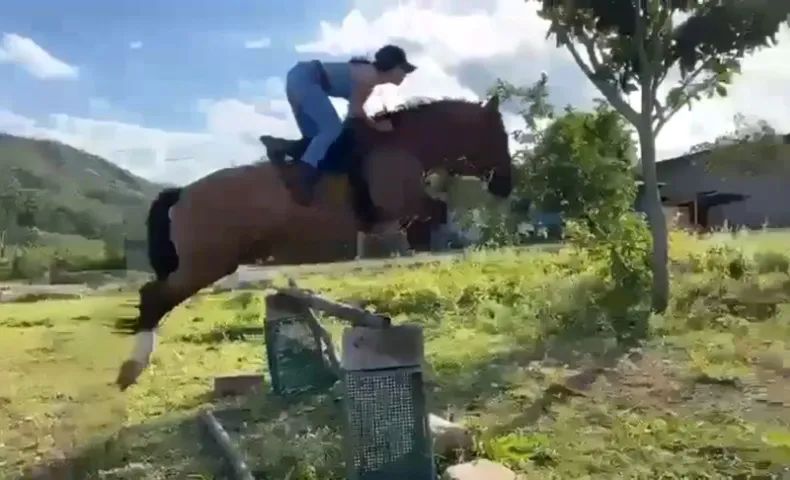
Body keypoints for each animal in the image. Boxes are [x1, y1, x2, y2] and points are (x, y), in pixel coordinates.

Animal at [115, 95, 513, 390]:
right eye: (499, 136)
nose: (505, 185)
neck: (403, 145)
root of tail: (182, 193)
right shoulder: (398, 203)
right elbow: (435, 210)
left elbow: (434, 210)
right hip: (207, 263)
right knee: (155, 297)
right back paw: (132, 367)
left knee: (156, 296)